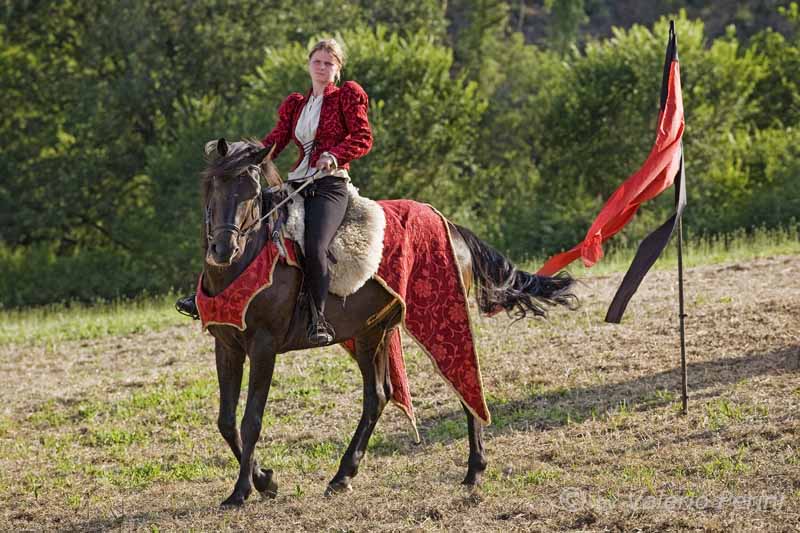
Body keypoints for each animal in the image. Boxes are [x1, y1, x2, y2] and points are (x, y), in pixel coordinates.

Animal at [200, 136, 576, 502]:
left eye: (251, 191)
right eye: (214, 185)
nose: (223, 249)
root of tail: (452, 227)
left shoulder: (264, 347)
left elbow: (250, 420)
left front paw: (242, 490)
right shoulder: (227, 346)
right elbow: (226, 421)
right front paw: (265, 480)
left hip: (444, 317)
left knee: (466, 383)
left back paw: (474, 470)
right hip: (372, 332)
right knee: (378, 396)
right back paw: (343, 475)